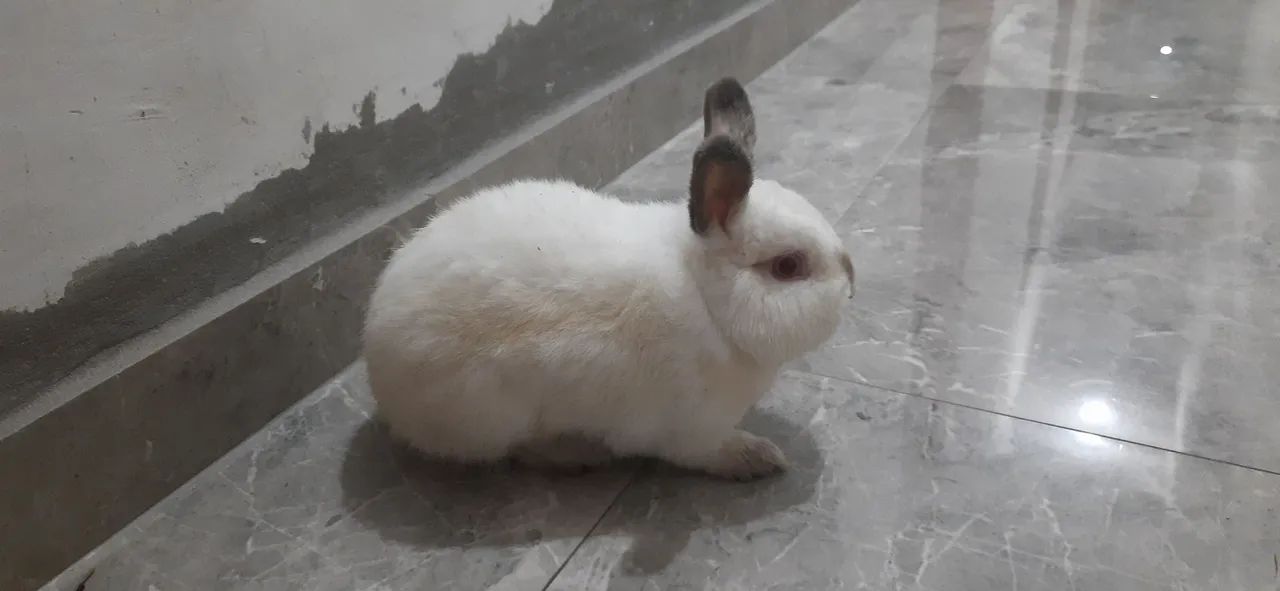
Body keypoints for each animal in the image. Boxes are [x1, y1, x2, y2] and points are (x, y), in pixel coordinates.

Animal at [363, 77, 854, 480]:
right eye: (788, 266)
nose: (851, 283)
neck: (708, 302)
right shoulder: (695, 432)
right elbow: (710, 453)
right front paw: (759, 457)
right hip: (491, 416)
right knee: (518, 451)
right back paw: (579, 454)